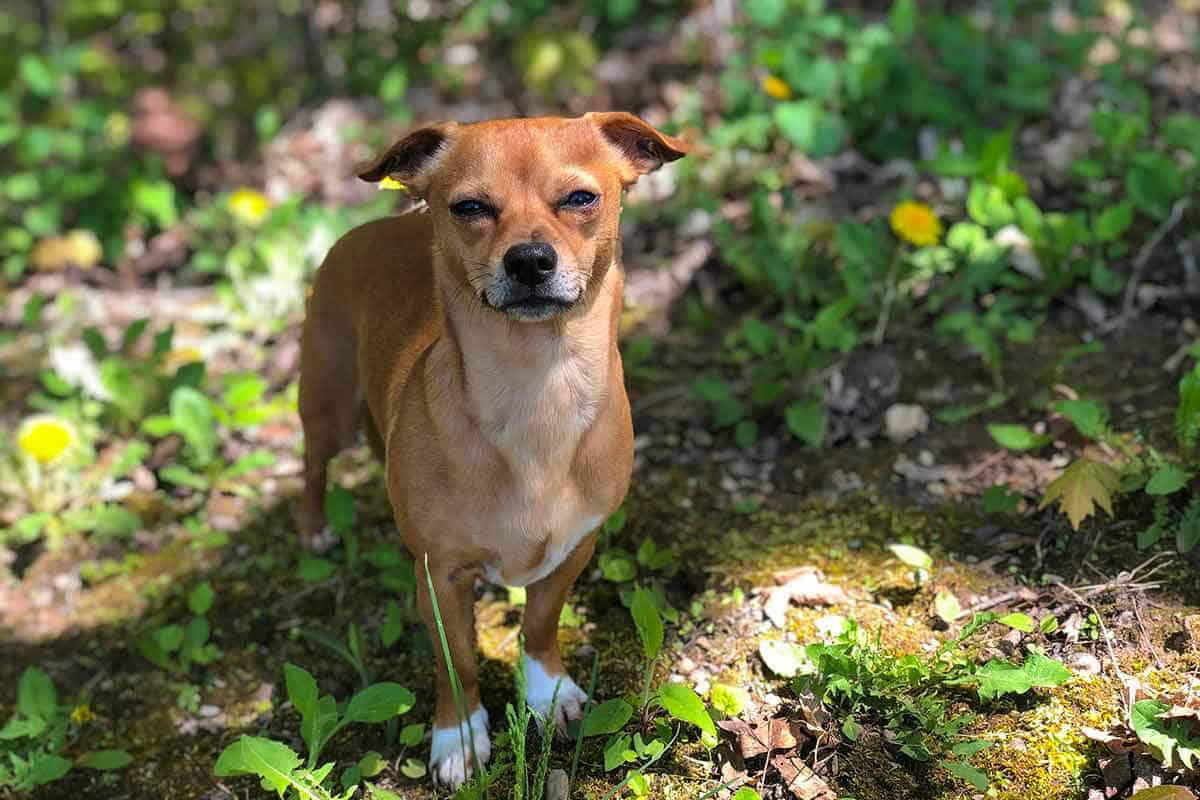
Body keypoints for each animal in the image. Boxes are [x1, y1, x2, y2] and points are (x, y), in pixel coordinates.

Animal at [297, 112, 686, 786]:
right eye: (470, 207)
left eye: (580, 198)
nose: (530, 259)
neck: (538, 388)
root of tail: (379, 225)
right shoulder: (440, 576)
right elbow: (458, 662)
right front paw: (458, 736)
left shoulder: (574, 548)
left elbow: (539, 624)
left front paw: (547, 692)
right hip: (328, 406)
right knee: (313, 464)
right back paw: (316, 527)